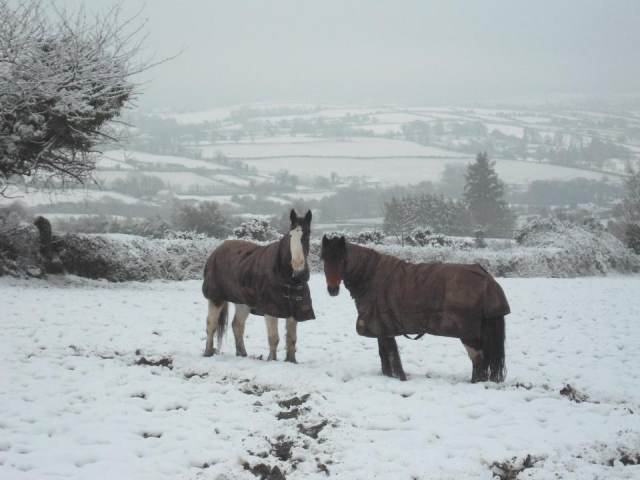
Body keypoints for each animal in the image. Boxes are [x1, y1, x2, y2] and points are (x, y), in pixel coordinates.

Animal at [201, 209, 314, 363]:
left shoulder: (294, 309)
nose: (297, 264)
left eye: (307, 235)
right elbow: (274, 338)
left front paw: (291, 361)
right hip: (216, 298)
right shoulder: (270, 309)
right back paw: (208, 352)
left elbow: (292, 338)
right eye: (291, 235)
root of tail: (217, 250)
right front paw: (271, 359)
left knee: (237, 325)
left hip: (242, 302)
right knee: (211, 324)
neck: (288, 280)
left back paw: (242, 353)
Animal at [320, 235, 510, 382]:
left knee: (478, 358)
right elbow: (385, 356)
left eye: (342, 259)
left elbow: (391, 355)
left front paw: (400, 378)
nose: (332, 290)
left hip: (468, 333)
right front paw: (389, 377)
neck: (371, 276)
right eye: (324, 259)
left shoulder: (384, 327)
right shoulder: (382, 328)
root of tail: (487, 280)